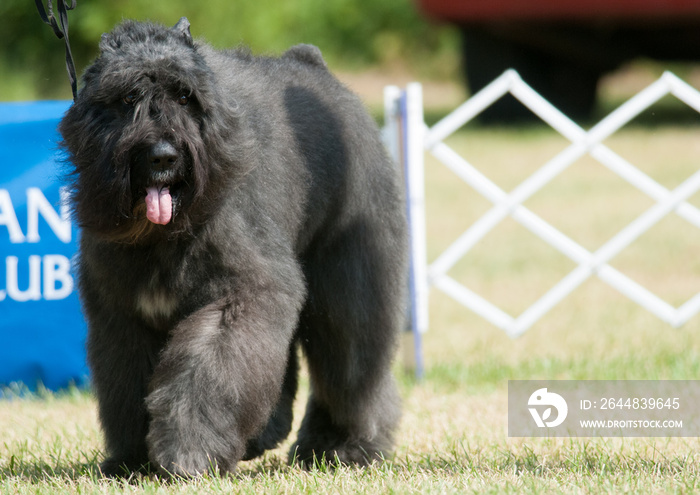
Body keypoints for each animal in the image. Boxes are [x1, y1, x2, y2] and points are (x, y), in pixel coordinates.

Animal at [60, 18, 410, 476]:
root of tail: (313, 66)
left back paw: (344, 446)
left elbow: (210, 371)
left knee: (353, 370)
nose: (162, 155)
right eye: (128, 96)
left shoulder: (239, 296)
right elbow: (127, 384)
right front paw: (132, 459)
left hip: (350, 288)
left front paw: (188, 452)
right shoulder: (122, 317)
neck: (161, 235)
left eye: (185, 96)